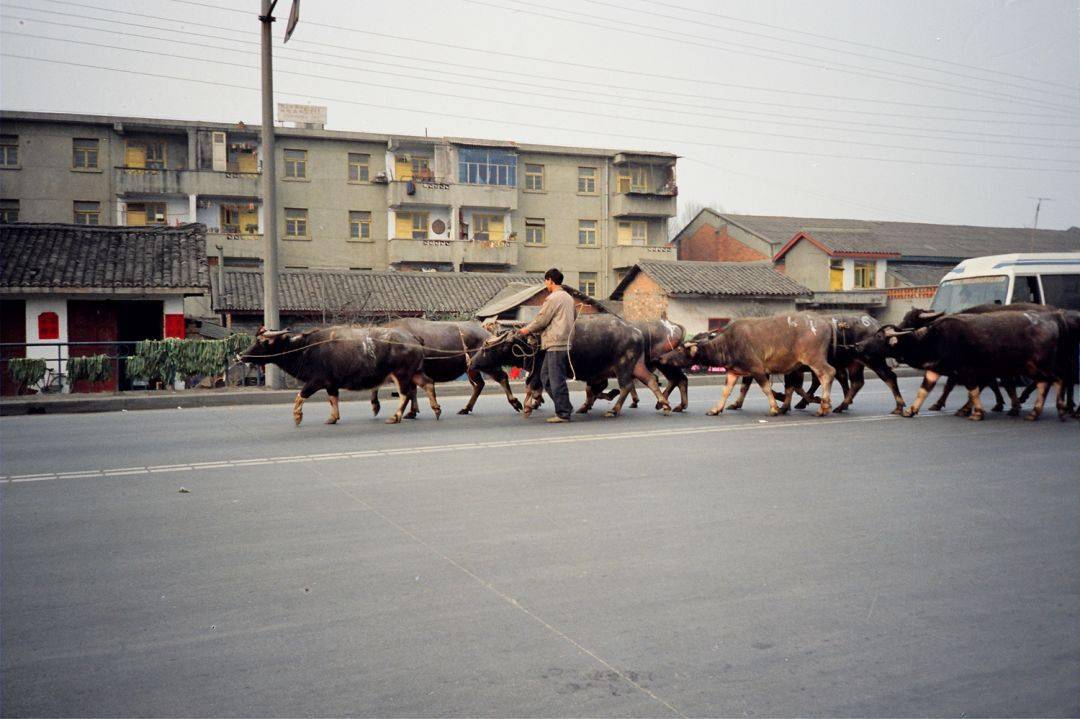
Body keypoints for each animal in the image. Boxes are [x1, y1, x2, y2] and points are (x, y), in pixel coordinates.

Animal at [240, 326, 438, 425]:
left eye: (261, 342)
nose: (240, 355)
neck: (305, 348)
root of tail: (413, 337)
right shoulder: (331, 384)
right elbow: (333, 399)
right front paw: (333, 418)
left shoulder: (316, 381)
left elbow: (300, 395)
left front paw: (297, 417)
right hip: (414, 372)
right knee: (427, 383)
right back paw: (436, 409)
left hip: (401, 374)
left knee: (405, 394)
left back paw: (395, 417)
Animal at [369, 317, 524, 416]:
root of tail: (487, 333)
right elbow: (412, 390)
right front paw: (412, 411)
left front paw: (376, 405)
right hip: (471, 368)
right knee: (479, 384)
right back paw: (466, 408)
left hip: (487, 364)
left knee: (502, 377)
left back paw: (515, 403)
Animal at [656, 313, 833, 416]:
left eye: (679, 349)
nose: (661, 358)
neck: (727, 345)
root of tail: (825, 324)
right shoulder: (733, 372)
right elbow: (726, 391)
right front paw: (716, 409)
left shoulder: (757, 369)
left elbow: (766, 388)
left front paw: (774, 408)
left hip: (813, 359)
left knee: (827, 373)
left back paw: (822, 407)